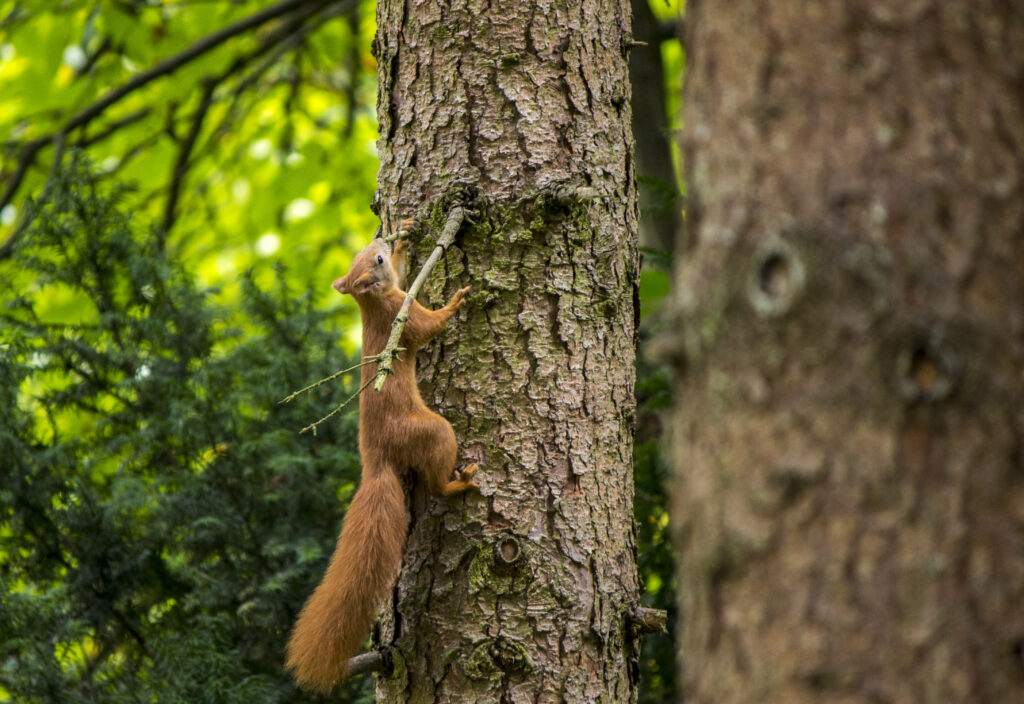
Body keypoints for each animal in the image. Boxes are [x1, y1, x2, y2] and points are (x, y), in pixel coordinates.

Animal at [285, 236, 479, 694]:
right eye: (375, 260)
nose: (381, 240)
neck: (371, 305)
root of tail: (375, 461)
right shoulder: (401, 315)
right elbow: (428, 327)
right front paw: (455, 302)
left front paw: (406, 237)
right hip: (431, 432)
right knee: (435, 483)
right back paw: (458, 484)